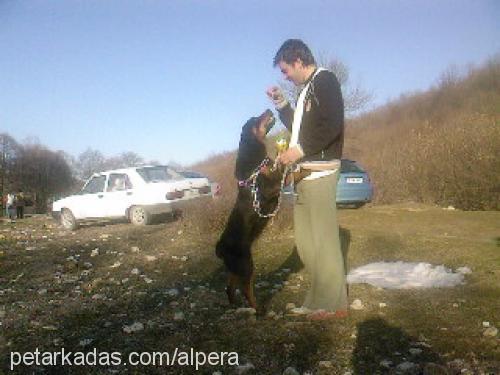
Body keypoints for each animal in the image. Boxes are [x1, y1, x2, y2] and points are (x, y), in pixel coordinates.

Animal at [217, 108, 284, 308]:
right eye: (255, 119)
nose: (269, 109)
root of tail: (220, 249)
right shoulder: (271, 186)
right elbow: (285, 168)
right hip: (246, 265)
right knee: (246, 289)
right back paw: (258, 309)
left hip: (237, 267)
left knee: (230, 287)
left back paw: (233, 304)